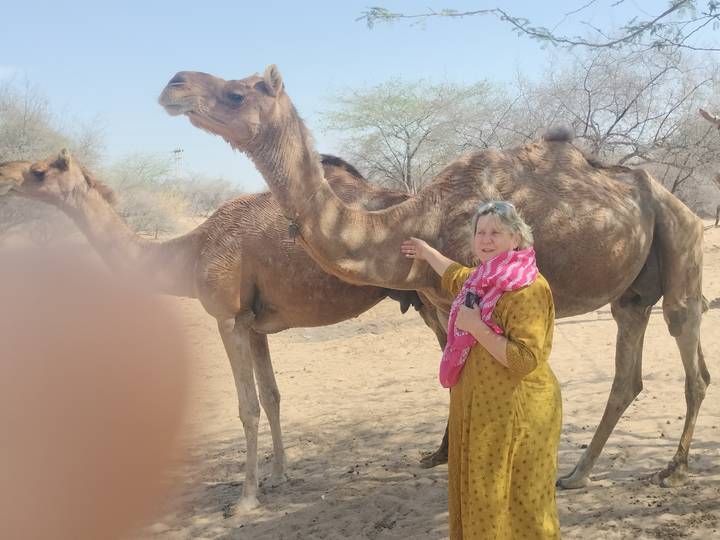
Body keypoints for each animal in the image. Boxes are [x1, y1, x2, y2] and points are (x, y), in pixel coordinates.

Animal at [0, 150, 445, 511]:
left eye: (39, 171)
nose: (5, 172)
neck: (190, 251)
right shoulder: (255, 325)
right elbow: (271, 396)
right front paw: (277, 476)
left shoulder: (227, 318)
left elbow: (247, 407)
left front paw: (246, 499)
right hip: (423, 300)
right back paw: (435, 455)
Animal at [159, 65, 711, 490]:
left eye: (238, 91)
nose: (174, 83)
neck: (417, 219)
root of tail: (665, 192)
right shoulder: (441, 300)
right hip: (633, 291)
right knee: (628, 367)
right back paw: (577, 473)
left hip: (682, 239)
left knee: (688, 340)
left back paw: (674, 470)